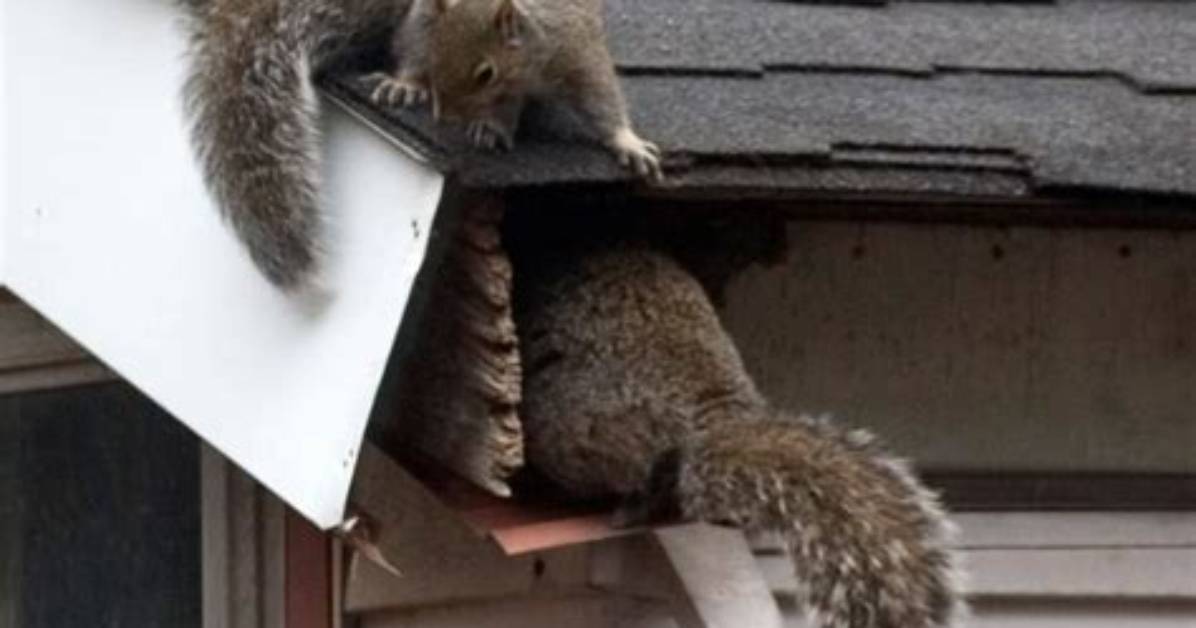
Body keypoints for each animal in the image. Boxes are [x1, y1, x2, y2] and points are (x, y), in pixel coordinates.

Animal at [368, 0, 663, 180]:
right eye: (435, 57)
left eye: (486, 74)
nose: (446, 117)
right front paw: (492, 127)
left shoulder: (576, 52)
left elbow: (600, 93)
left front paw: (626, 140)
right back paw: (405, 85)